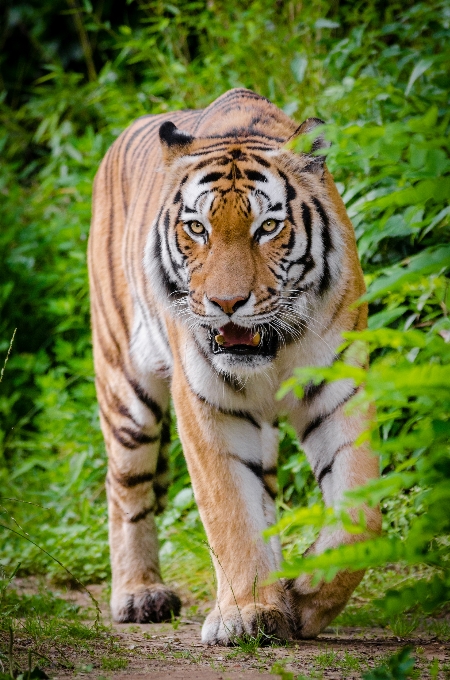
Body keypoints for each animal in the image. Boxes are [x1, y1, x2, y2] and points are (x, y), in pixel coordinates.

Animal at [88, 87, 380, 644]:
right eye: (196, 228)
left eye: (267, 227)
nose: (226, 303)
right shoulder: (208, 402)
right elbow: (229, 510)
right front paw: (247, 613)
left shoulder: (339, 389)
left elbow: (360, 513)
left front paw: (303, 599)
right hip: (126, 389)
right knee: (126, 488)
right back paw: (139, 594)